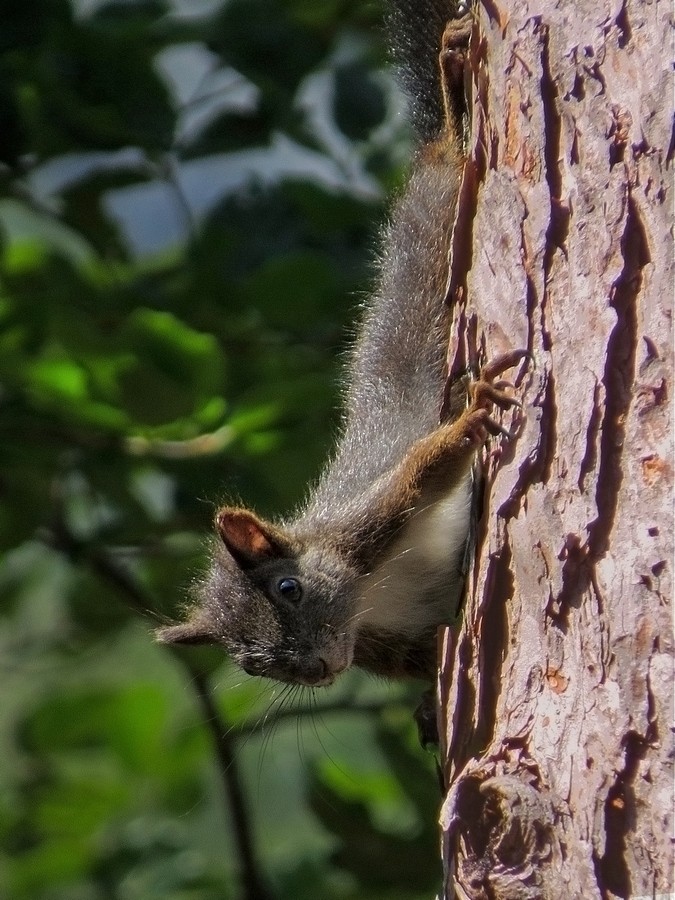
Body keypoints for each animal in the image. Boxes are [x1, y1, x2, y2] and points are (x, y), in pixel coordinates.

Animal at [157, 0, 528, 688]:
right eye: (252, 665)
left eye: (289, 588)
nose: (320, 670)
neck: (368, 596)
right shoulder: (381, 643)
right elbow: (418, 661)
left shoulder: (363, 525)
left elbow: (422, 470)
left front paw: (470, 416)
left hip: (435, 212)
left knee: (446, 153)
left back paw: (451, 88)